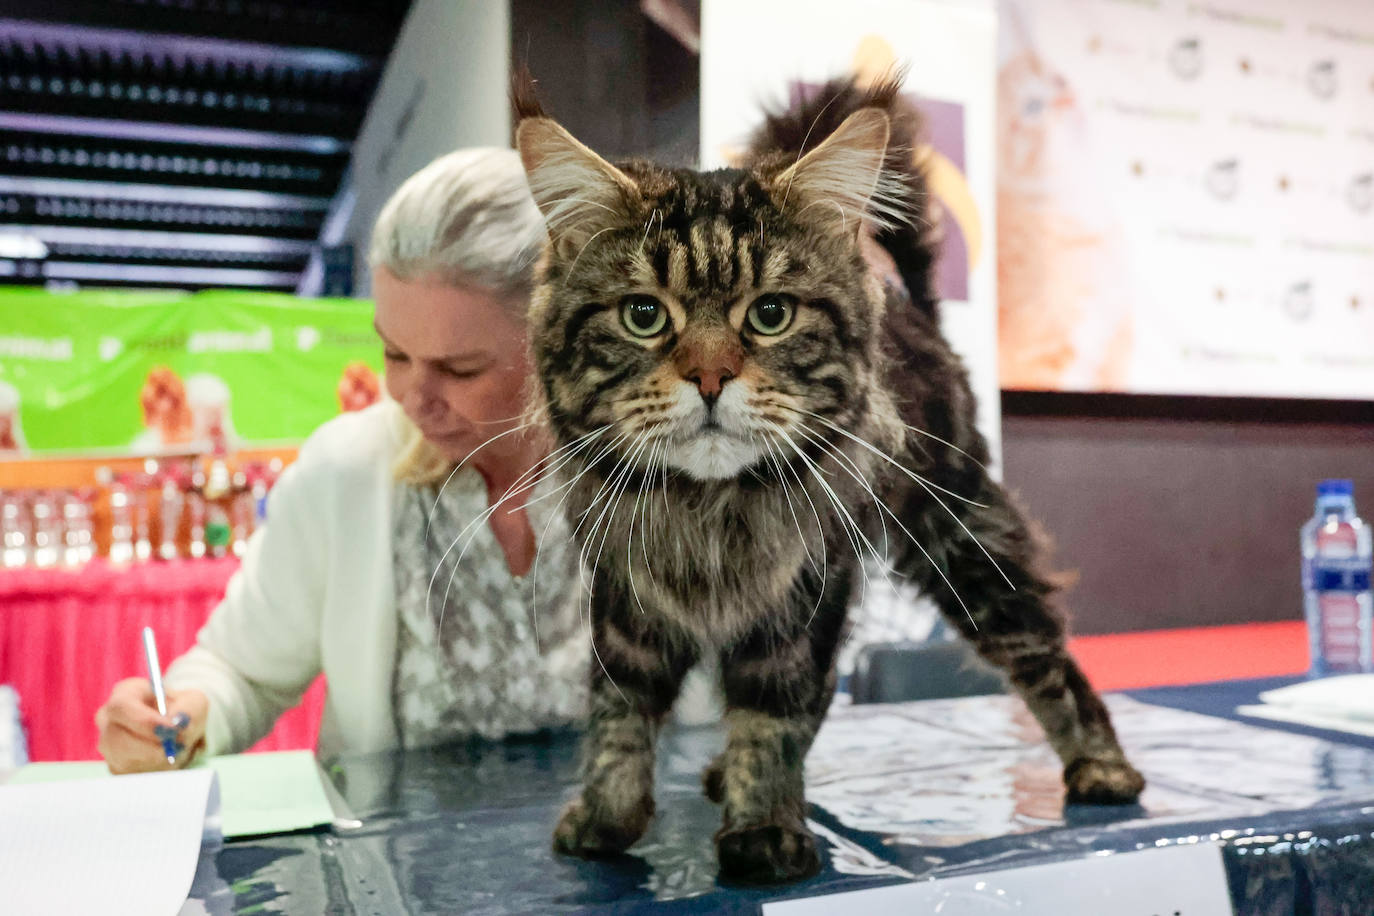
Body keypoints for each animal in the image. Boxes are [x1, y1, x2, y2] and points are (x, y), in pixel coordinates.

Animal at [511, 75, 1143, 884]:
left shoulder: (803, 594)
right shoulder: (627, 597)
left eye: (771, 315)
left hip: (965, 544)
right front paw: (607, 815)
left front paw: (763, 828)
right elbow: (619, 711)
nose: (709, 377)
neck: (707, 506)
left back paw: (1103, 766)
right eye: (644, 315)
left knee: (1043, 649)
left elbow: (775, 712)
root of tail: (915, 313)